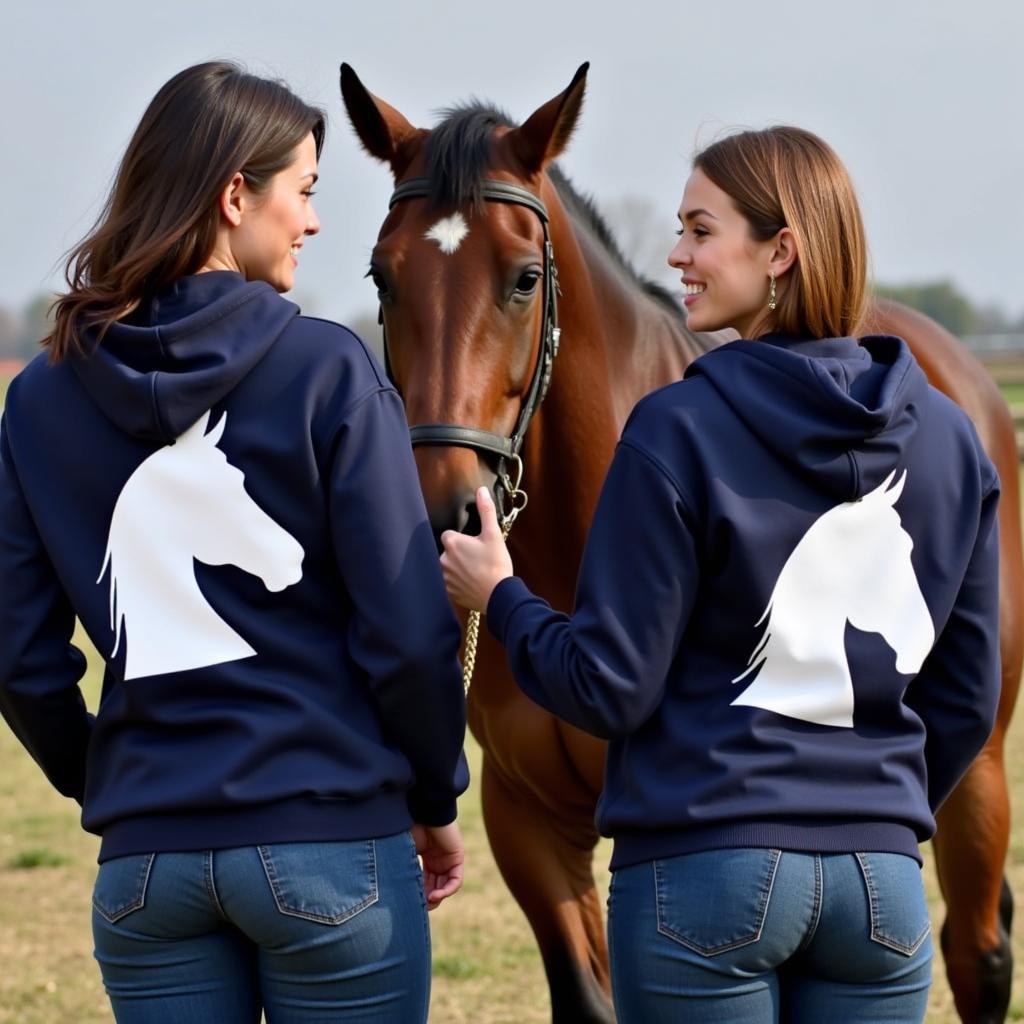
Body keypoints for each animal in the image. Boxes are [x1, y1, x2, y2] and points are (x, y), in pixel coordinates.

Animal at [339, 64, 1019, 1024]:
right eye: (382, 275)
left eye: (523, 278)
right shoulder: (528, 823)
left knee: (978, 953)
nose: (442, 513)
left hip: (981, 775)